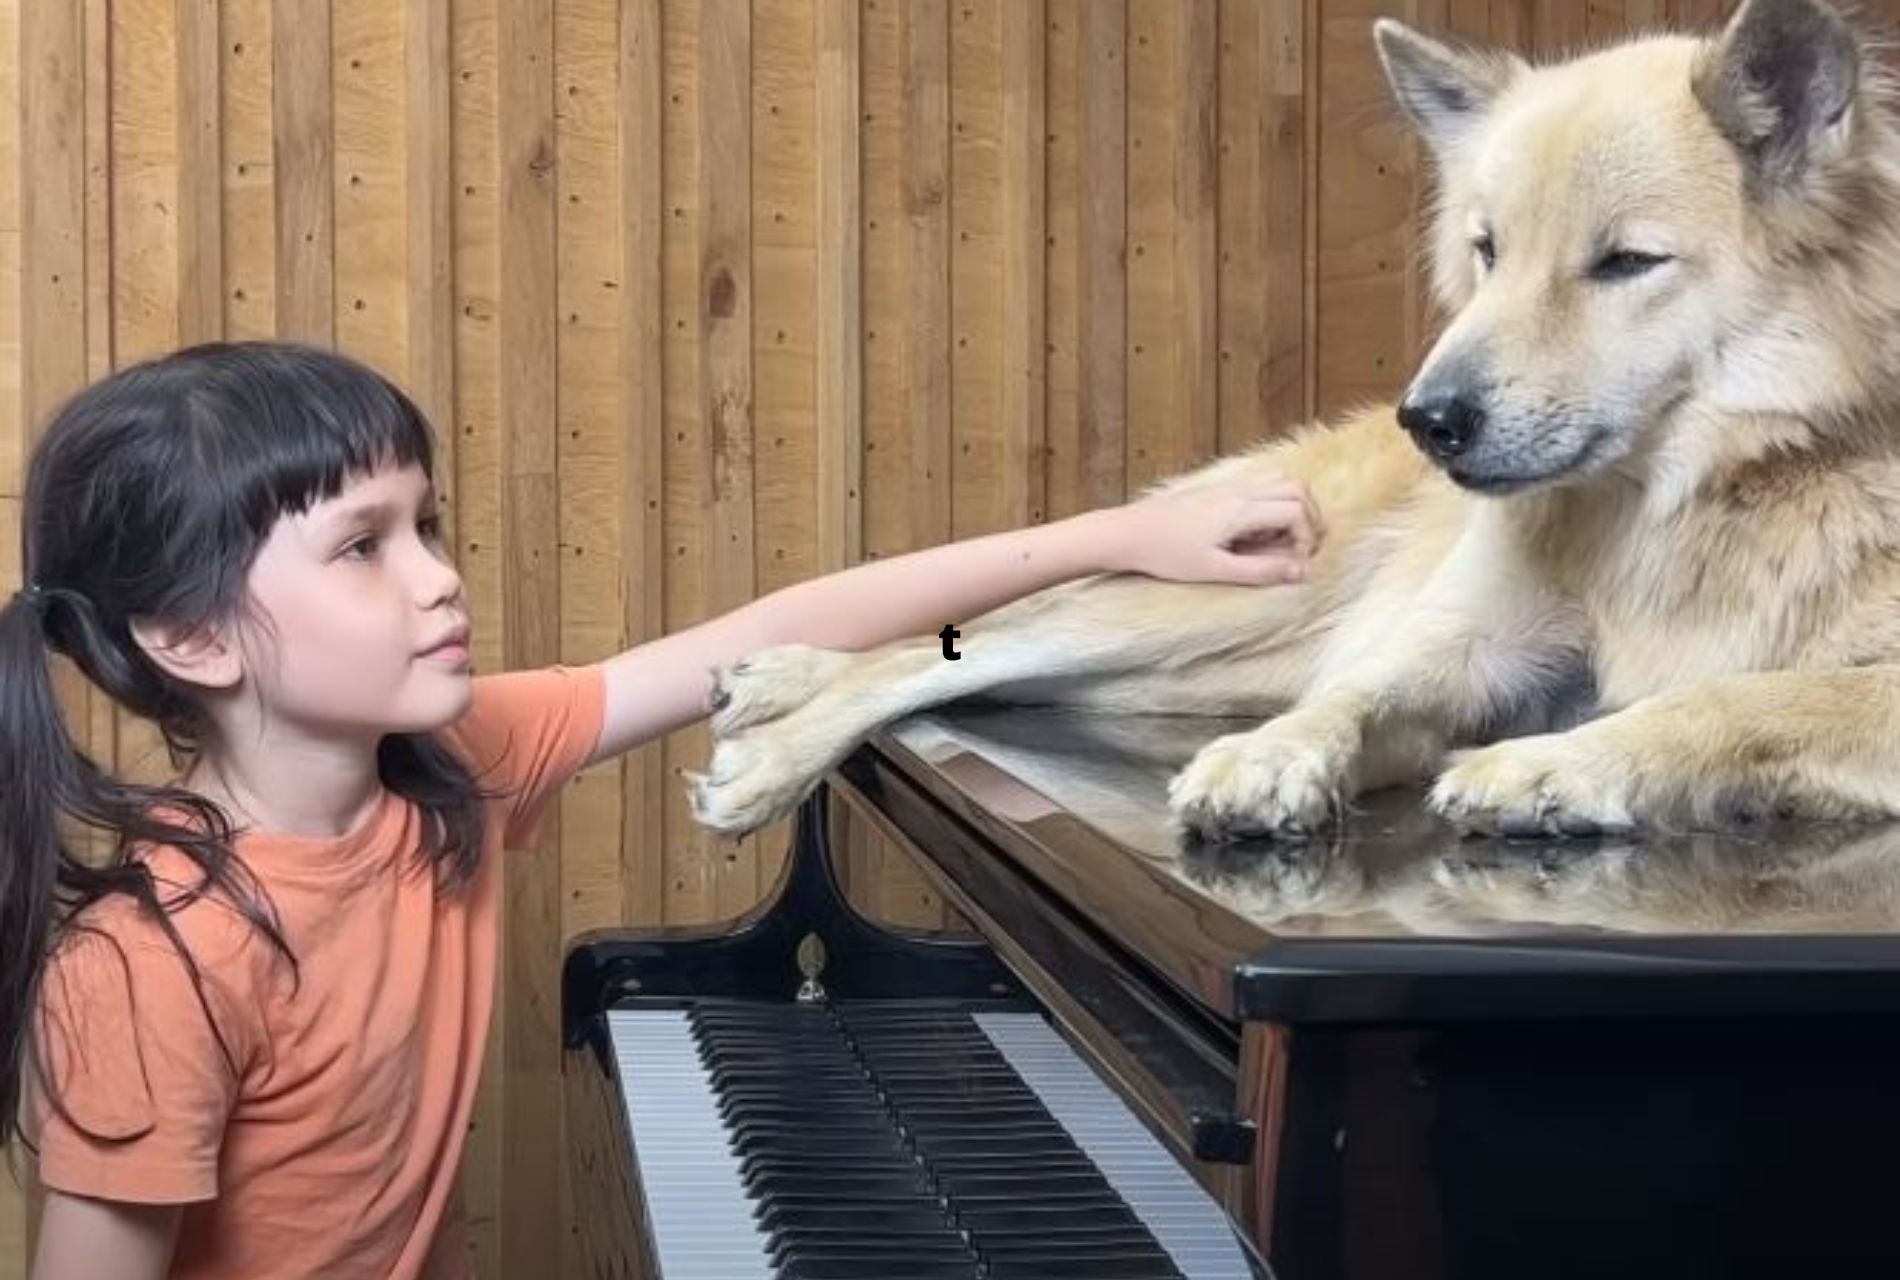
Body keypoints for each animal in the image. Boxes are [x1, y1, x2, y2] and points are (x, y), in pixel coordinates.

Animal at [691, 0, 1900, 843]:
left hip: (1211, 657)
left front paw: (1550, 766)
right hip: (1224, 605)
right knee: (968, 640)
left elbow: (1738, 696)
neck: (1710, 495)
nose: (1430, 421)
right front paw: (1275, 758)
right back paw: (779, 724)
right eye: (1487, 250)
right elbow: (1368, 692)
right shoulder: (1464, 650)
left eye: (1625, 262)